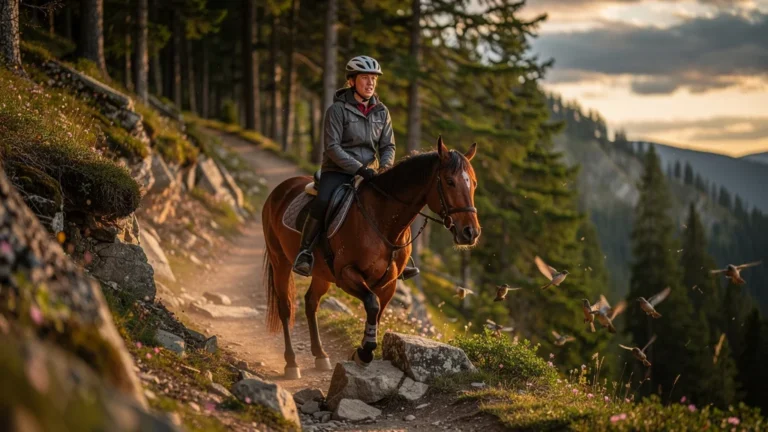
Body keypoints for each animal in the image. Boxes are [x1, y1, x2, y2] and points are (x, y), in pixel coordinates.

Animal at [261, 136, 481, 378]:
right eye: (450, 181)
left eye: (473, 183)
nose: (471, 232)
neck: (382, 221)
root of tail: (281, 189)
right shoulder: (347, 274)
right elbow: (372, 304)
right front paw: (364, 352)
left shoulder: (388, 284)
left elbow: (377, 313)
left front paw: (362, 350)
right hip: (280, 261)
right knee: (285, 307)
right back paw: (291, 363)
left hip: (321, 273)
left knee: (311, 303)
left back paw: (320, 355)